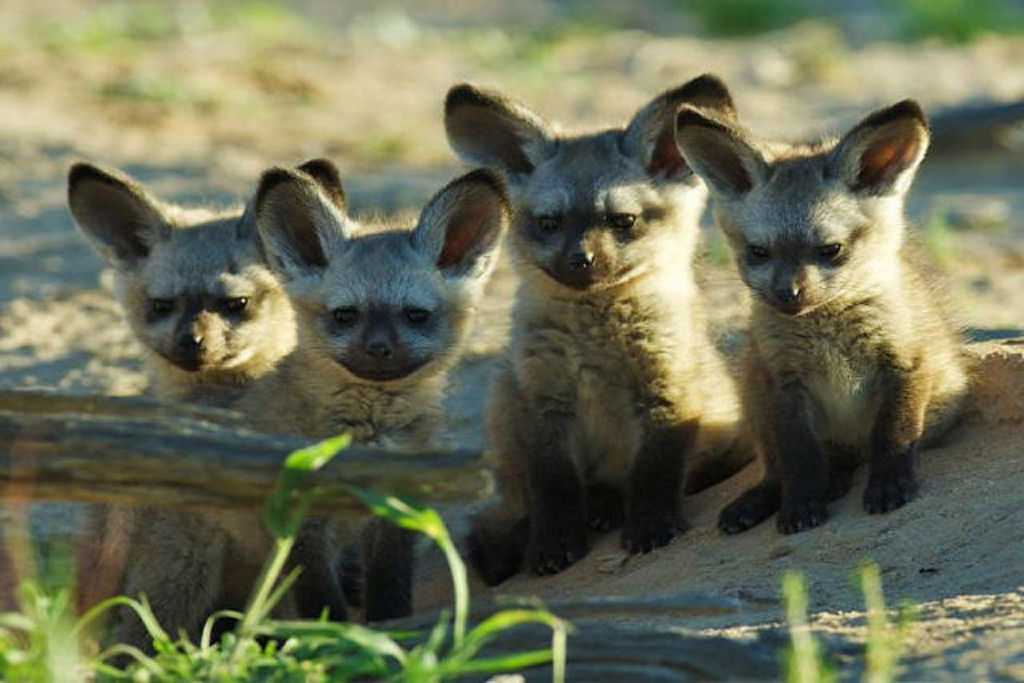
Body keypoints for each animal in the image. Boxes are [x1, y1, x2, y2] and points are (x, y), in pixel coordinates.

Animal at [443, 74, 751, 584]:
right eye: (550, 222)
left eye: (622, 220)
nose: (581, 261)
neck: (595, 345)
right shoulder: (541, 402)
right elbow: (555, 488)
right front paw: (554, 543)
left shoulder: (667, 390)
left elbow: (655, 472)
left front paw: (651, 525)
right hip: (504, 400)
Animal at [673, 99, 969, 535]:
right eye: (758, 252)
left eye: (831, 250)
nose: (788, 295)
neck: (827, 336)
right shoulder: (784, 382)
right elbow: (800, 460)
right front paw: (800, 505)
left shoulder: (904, 361)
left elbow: (893, 436)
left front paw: (889, 485)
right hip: (756, 398)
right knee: (780, 469)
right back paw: (766, 498)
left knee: (852, 460)